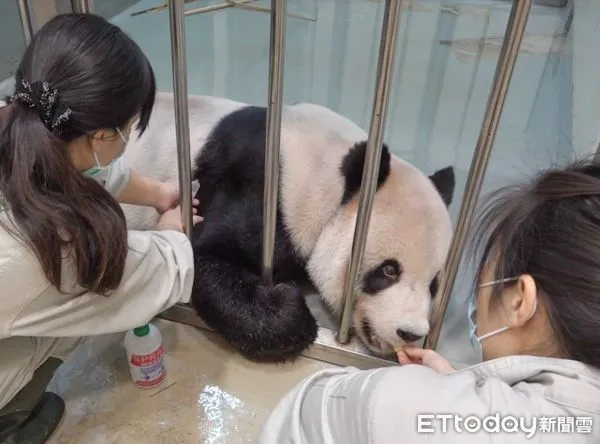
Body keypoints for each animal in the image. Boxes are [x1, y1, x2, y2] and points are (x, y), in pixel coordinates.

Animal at [120, 92, 454, 362]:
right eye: (388, 270)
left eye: (434, 284)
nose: (411, 333)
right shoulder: (260, 189)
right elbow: (201, 256)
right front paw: (290, 304)